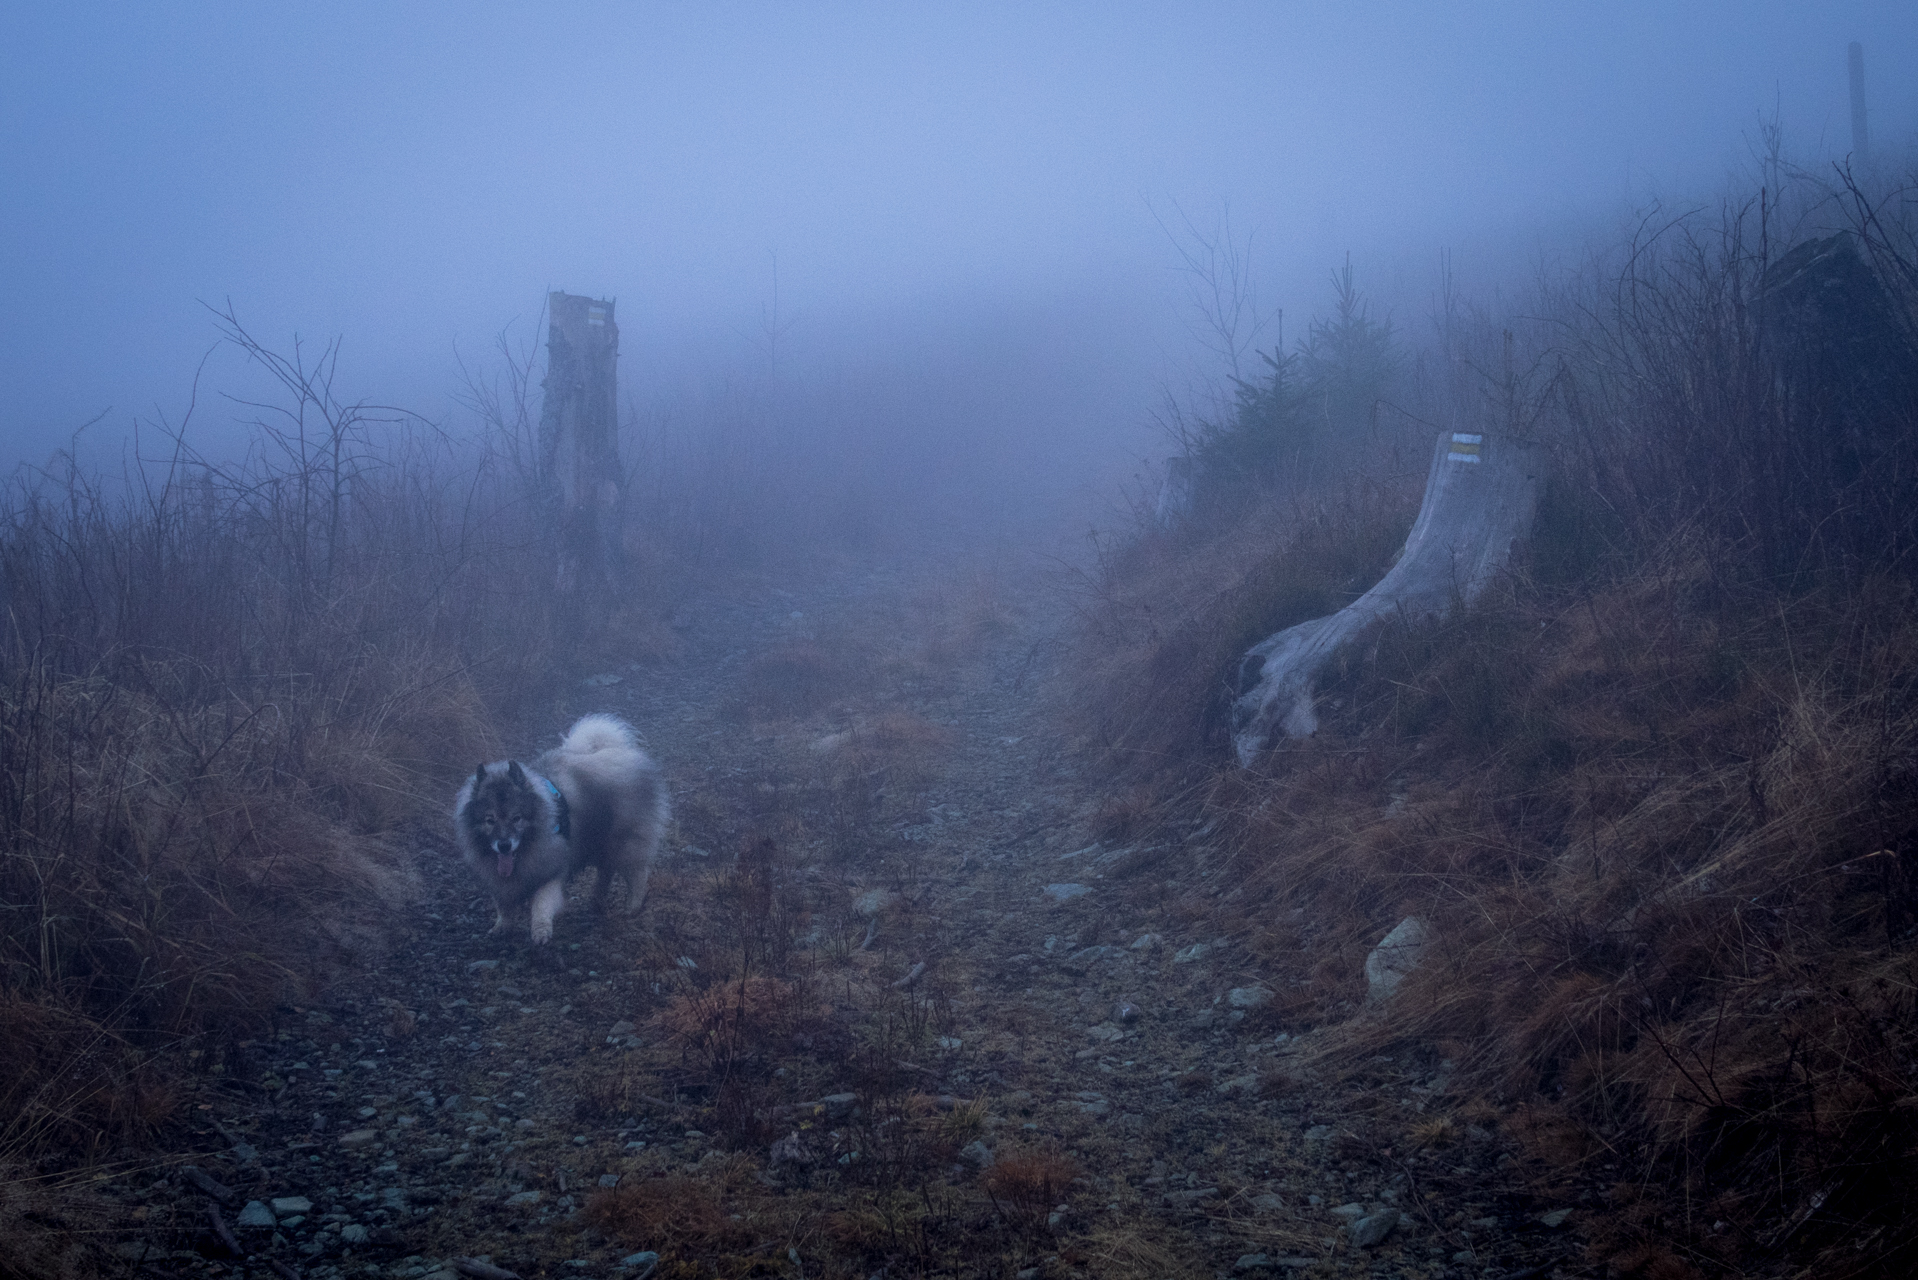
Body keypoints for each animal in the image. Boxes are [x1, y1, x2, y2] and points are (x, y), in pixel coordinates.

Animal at [452, 717, 671, 948]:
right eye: (490, 820)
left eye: (516, 818)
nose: (504, 845)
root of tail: (624, 752)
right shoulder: (500, 881)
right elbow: (503, 905)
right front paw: (502, 926)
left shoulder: (550, 872)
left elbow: (541, 903)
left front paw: (540, 931)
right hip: (602, 842)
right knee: (606, 870)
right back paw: (597, 898)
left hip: (624, 844)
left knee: (637, 875)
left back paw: (632, 907)